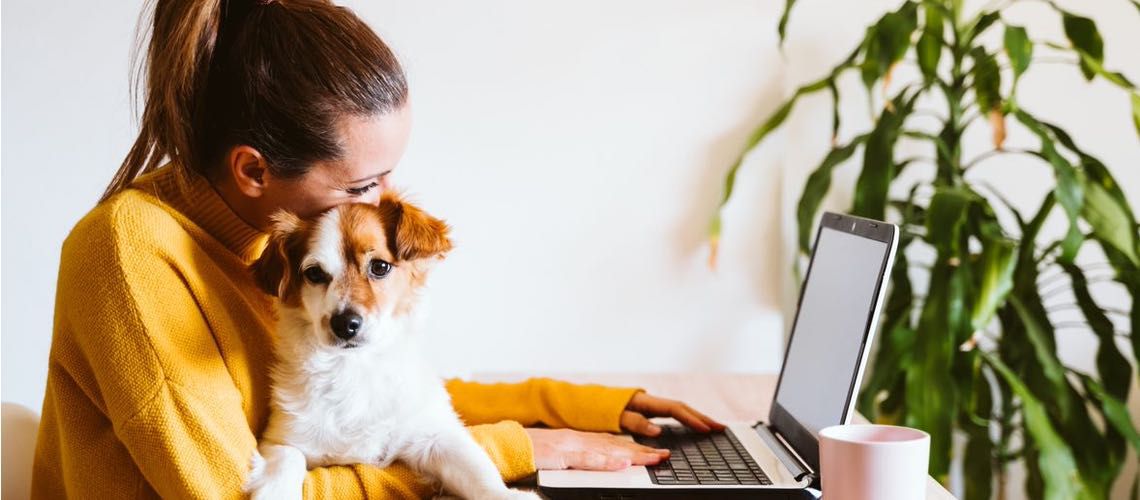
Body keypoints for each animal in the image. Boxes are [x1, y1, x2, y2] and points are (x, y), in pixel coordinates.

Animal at [245, 195, 538, 500]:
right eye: (314, 274)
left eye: (379, 267)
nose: (345, 324)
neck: (355, 368)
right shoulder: (282, 437)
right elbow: (286, 460)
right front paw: (276, 491)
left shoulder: (435, 435)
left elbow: (477, 470)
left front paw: (508, 494)